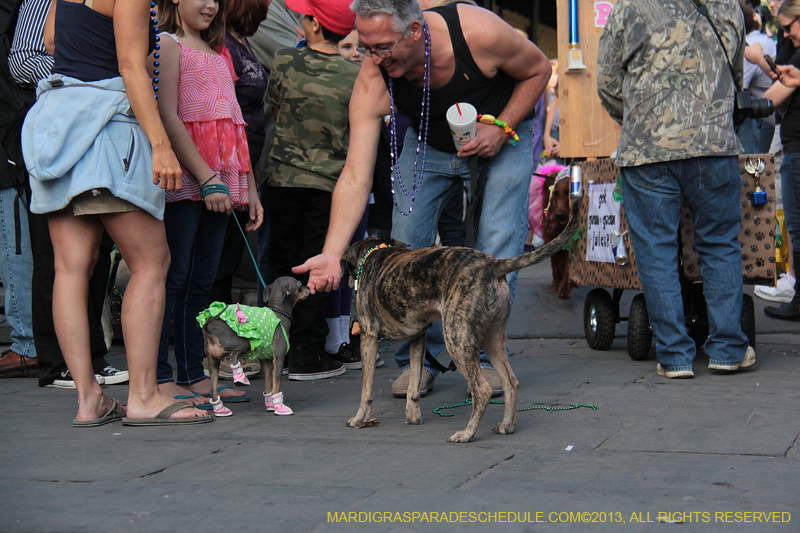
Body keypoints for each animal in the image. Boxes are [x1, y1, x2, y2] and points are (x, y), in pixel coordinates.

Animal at [202, 276, 308, 418]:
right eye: (300, 286)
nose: (309, 287)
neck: (279, 313)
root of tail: (210, 330)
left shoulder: (267, 361)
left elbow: (268, 386)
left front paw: (270, 405)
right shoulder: (278, 360)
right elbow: (276, 385)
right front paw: (279, 407)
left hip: (213, 363)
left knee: (212, 390)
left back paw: (220, 410)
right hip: (244, 343)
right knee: (233, 355)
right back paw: (240, 379)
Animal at [340, 200, 580, 440]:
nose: (350, 283)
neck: (373, 254)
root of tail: (493, 264)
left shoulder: (369, 336)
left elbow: (366, 388)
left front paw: (359, 419)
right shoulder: (418, 338)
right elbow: (413, 384)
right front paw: (413, 417)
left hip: (457, 338)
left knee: (482, 390)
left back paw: (467, 433)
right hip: (492, 337)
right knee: (510, 382)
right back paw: (506, 425)